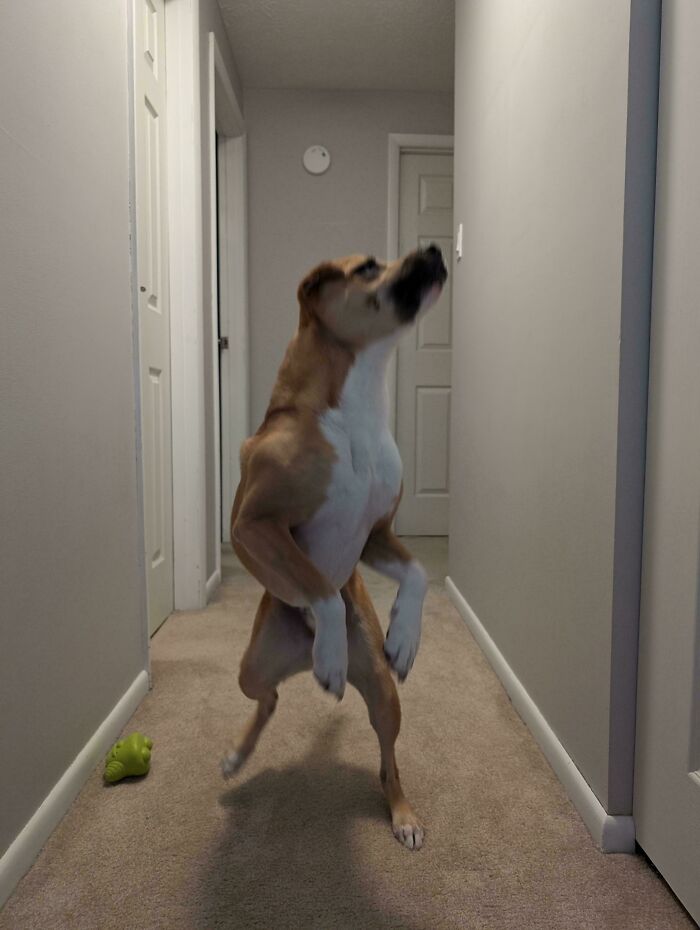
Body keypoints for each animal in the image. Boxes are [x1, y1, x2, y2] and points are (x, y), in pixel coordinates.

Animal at [224, 243, 448, 844]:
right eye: (367, 267)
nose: (435, 248)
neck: (357, 404)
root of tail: (293, 657)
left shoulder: (377, 534)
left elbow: (418, 572)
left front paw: (406, 637)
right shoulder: (251, 525)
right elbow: (319, 586)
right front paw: (330, 654)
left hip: (386, 696)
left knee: (388, 762)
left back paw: (403, 814)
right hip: (252, 668)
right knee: (269, 698)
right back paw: (238, 753)